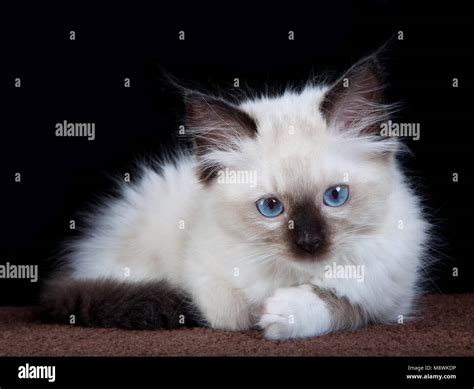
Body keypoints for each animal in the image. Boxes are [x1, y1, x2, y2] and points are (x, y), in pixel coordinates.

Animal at [40, 53, 430, 338]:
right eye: (271, 207)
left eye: (335, 197)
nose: (309, 243)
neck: (296, 275)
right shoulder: (209, 284)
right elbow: (238, 313)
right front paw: (266, 312)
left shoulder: (390, 303)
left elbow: (346, 305)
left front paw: (287, 311)